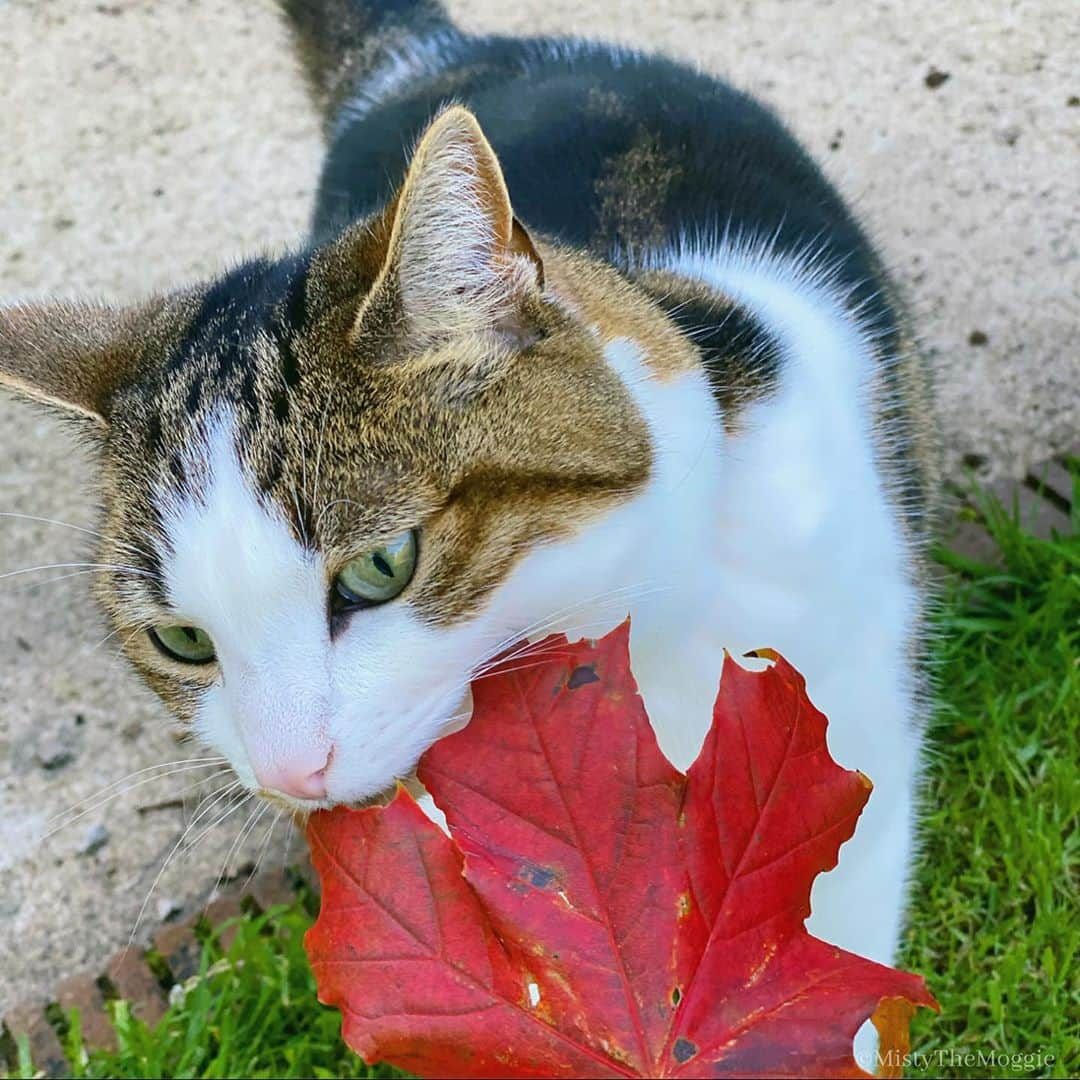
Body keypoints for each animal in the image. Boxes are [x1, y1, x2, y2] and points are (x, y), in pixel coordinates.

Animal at [0, 0, 937, 1028]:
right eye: (182, 642)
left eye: (382, 566)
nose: (289, 777)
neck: (643, 643)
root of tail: (435, 52)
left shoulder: (840, 734)